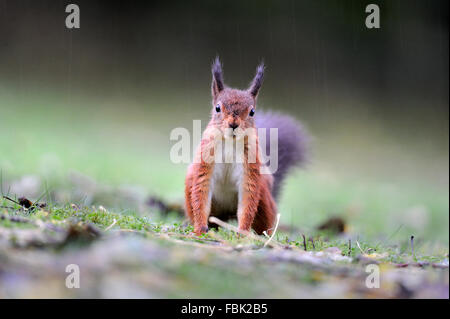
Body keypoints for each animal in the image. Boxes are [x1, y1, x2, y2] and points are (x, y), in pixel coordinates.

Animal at [185, 58, 308, 236]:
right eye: (217, 108)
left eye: (252, 112)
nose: (233, 124)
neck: (230, 141)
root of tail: (227, 214)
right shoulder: (206, 160)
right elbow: (201, 192)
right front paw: (200, 229)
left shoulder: (250, 168)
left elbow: (247, 201)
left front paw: (242, 232)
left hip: (264, 197)